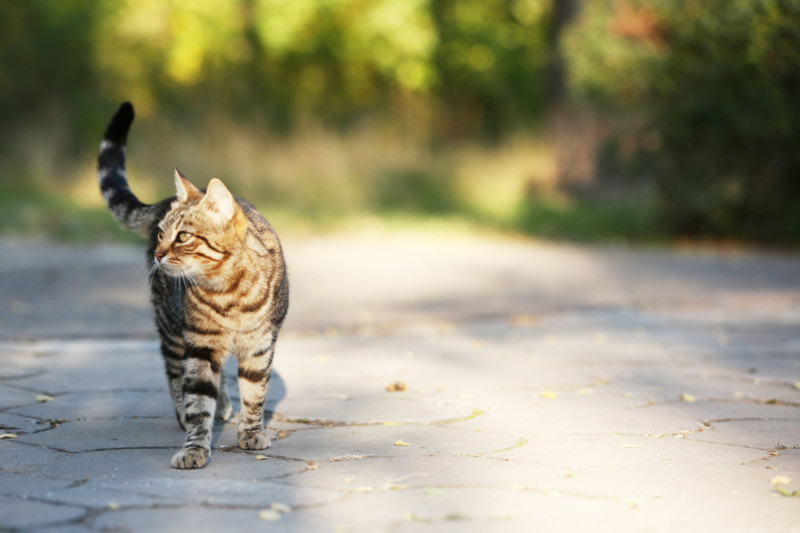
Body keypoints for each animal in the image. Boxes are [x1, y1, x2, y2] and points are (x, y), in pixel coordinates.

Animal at [96, 102, 290, 468]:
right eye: (161, 233)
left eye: (183, 237)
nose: (158, 254)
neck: (228, 292)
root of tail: (161, 199)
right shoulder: (198, 344)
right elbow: (198, 398)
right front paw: (195, 448)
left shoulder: (259, 344)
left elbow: (254, 393)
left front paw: (251, 433)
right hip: (172, 328)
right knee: (175, 372)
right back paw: (187, 413)